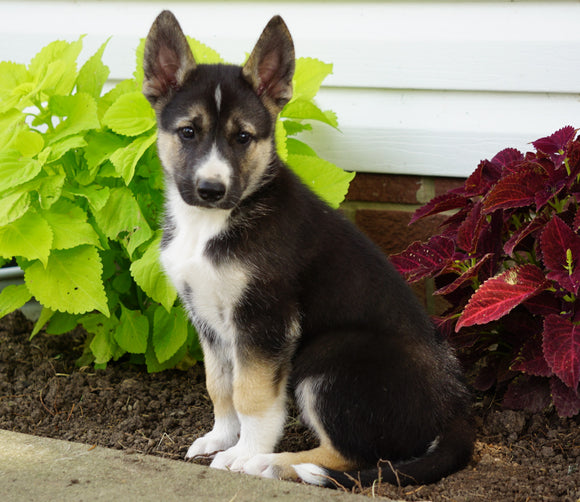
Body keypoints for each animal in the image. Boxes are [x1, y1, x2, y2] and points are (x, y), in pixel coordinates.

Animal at [143, 9, 474, 488]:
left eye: (243, 138)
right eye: (188, 132)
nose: (210, 189)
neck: (211, 223)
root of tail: (454, 413)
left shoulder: (265, 320)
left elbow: (252, 394)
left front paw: (242, 452)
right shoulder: (206, 317)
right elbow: (219, 384)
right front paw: (219, 438)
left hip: (327, 356)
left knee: (354, 456)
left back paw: (272, 463)